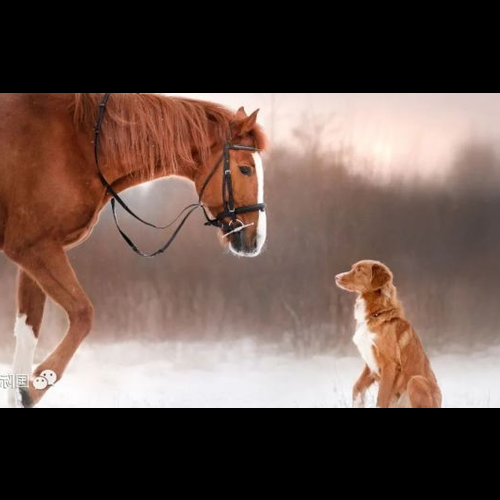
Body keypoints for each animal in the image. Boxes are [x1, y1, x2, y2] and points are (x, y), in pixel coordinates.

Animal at [0, 93, 268, 406]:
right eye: (245, 169)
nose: (255, 239)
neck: (79, 140)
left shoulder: (35, 256)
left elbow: (28, 333)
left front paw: (23, 391)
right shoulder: (33, 248)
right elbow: (83, 314)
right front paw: (36, 384)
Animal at [336, 260, 442, 408]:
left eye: (359, 270)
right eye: (353, 268)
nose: (336, 277)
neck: (375, 314)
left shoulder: (390, 365)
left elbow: (381, 399)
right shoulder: (370, 365)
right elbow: (357, 388)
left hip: (416, 380)